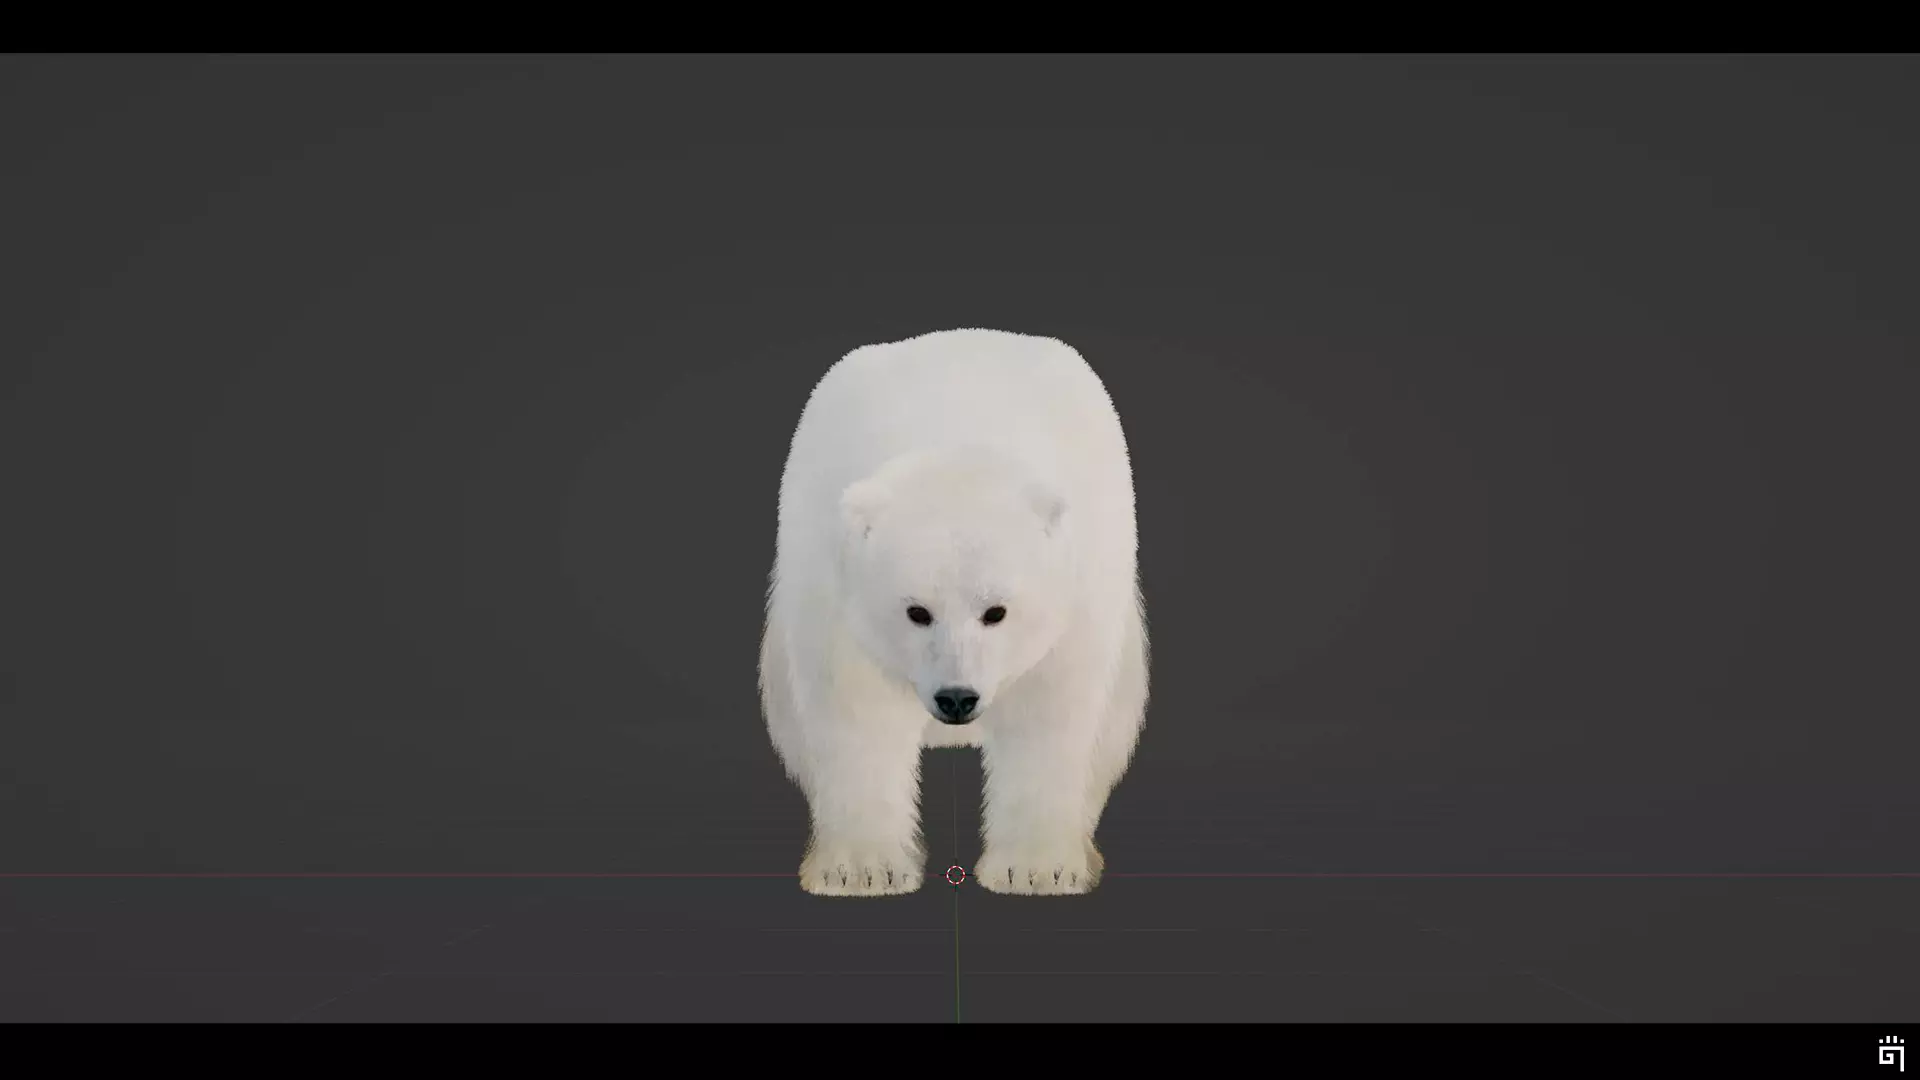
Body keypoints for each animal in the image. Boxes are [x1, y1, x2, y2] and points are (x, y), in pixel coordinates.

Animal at [759, 327, 1149, 897]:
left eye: (997, 611)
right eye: (917, 611)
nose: (957, 699)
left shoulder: (1083, 585)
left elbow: (1050, 708)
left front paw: (1038, 869)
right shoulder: (829, 584)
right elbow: (855, 709)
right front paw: (861, 871)